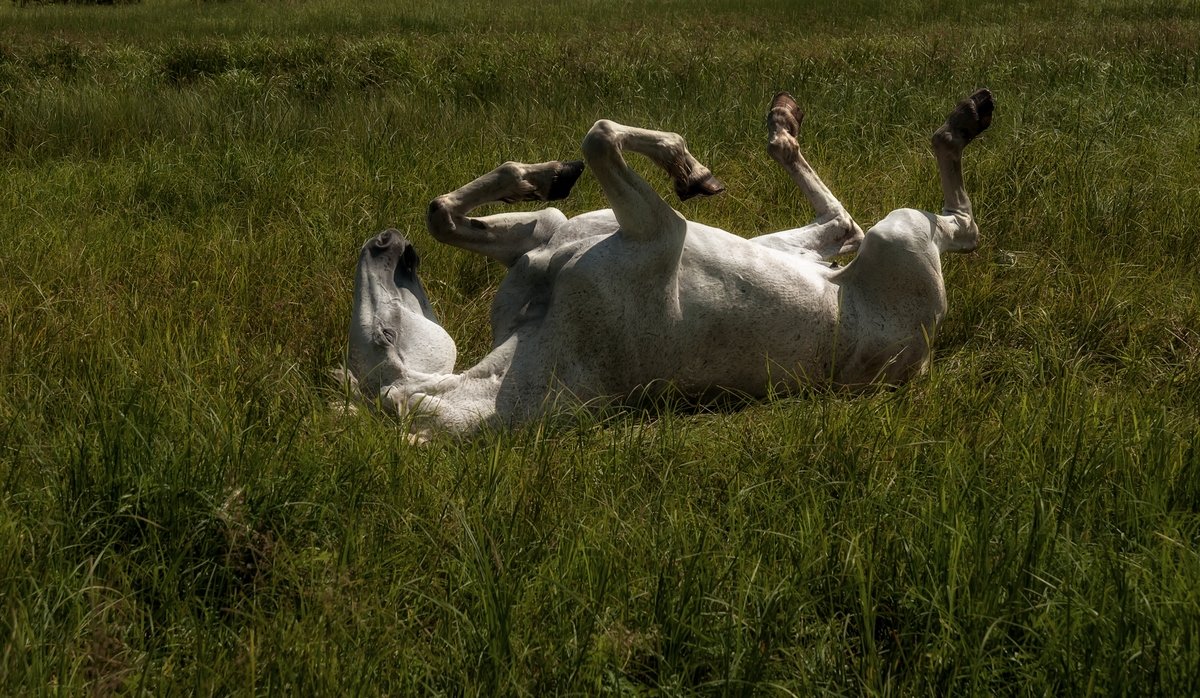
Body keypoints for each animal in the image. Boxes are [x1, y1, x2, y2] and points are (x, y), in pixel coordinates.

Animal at [345, 90, 993, 434]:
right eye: (384, 338)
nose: (383, 243)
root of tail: (921, 361)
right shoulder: (661, 229)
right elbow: (600, 136)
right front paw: (688, 166)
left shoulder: (549, 233)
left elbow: (447, 212)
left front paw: (545, 175)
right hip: (899, 233)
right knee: (950, 227)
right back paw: (962, 121)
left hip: (800, 245)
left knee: (845, 223)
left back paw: (783, 120)